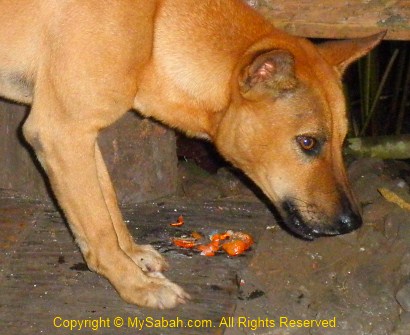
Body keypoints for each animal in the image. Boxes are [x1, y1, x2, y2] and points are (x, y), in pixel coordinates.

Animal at [0, 0, 384, 310]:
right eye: (307, 142)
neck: (156, 23)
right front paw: (136, 287)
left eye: (342, 140)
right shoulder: (60, 131)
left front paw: (133, 255)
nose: (353, 223)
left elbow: (108, 206)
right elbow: (99, 230)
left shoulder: (78, 133)